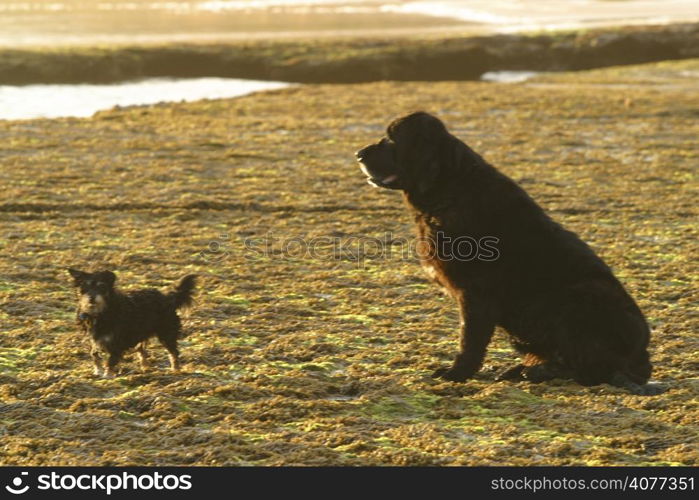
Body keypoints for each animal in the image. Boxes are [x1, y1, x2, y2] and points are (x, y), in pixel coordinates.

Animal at [68, 268, 197, 376]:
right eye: (84, 287)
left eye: (102, 286)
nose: (91, 298)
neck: (101, 312)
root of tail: (168, 298)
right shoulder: (95, 339)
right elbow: (94, 354)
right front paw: (98, 371)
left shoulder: (117, 341)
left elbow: (111, 360)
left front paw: (108, 374)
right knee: (141, 350)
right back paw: (145, 367)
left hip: (166, 334)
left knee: (173, 352)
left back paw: (176, 370)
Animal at [358, 112, 660, 394]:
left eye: (393, 138)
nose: (358, 154)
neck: (448, 187)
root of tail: (642, 359)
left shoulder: (476, 294)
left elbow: (470, 341)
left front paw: (456, 374)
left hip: (584, 293)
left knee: (592, 369)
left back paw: (538, 371)